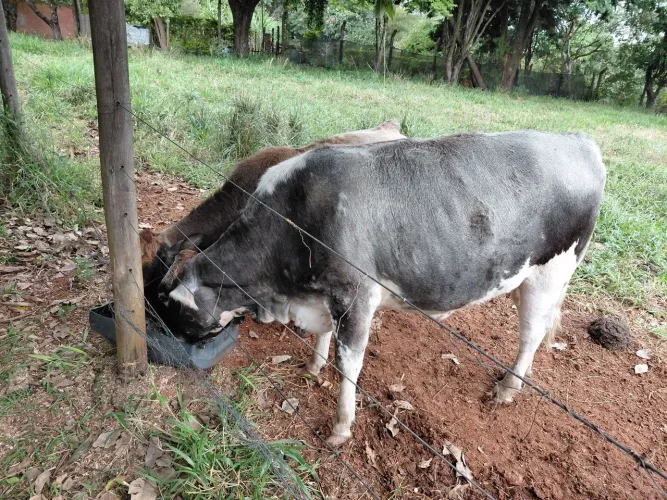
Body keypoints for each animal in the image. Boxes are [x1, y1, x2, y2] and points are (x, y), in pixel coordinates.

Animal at [158, 131, 606, 446]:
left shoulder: (355, 294)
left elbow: (349, 364)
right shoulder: (325, 295)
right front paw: (313, 365)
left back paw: (509, 387)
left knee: (531, 334)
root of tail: (579, 140)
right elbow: (322, 337)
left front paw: (341, 426)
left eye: (176, 313)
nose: (177, 349)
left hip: (550, 274)